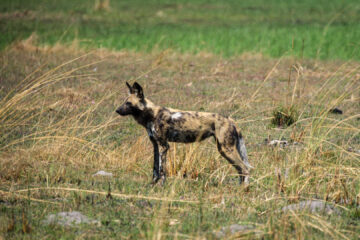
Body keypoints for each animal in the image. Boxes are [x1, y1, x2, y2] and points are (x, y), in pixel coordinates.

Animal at [116, 82, 253, 186]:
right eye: (124, 102)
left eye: (128, 103)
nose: (117, 110)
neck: (151, 114)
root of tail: (229, 119)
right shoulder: (156, 145)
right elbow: (155, 169)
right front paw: (152, 185)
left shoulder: (164, 146)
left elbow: (162, 170)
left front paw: (160, 186)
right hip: (224, 150)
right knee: (241, 170)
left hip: (226, 149)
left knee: (245, 169)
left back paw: (243, 190)